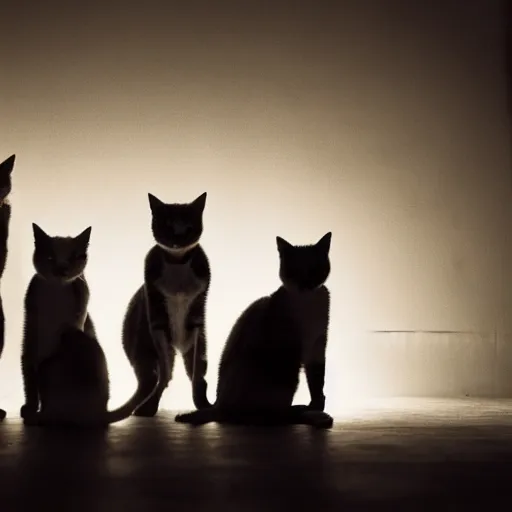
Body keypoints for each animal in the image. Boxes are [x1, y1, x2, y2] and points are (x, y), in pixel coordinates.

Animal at [122, 191, 212, 416]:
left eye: (188, 225)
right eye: (167, 224)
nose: (177, 238)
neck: (178, 263)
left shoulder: (197, 317)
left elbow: (196, 374)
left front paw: (201, 405)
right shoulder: (157, 319)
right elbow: (165, 374)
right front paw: (149, 406)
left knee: (198, 371)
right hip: (142, 347)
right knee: (156, 375)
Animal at [175, 232, 336, 428]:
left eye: (314, 269)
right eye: (294, 270)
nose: (305, 284)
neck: (308, 302)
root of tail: (219, 405)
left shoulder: (318, 344)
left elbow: (317, 380)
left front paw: (318, 404)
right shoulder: (300, 346)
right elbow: (313, 380)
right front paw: (315, 408)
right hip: (286, 370)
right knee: (270, 415)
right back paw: (309, 414)